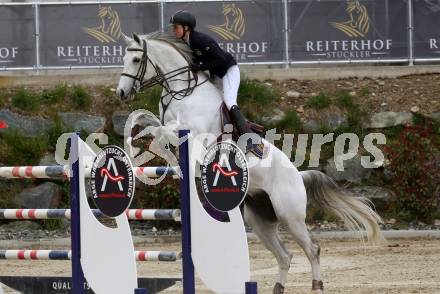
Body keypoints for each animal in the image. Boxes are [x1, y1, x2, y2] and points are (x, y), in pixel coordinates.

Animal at [115, 32, 384, 294]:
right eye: (124, 59)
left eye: (136, 60)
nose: (121, 93)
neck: (182, 90)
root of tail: (298, 176)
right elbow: (150, 123)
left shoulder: (195, 133)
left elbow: (161, 131)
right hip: (260, 220)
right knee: (285, 256)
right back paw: (278, 288)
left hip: (290, 216)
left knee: (312, 249)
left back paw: (316, 287)